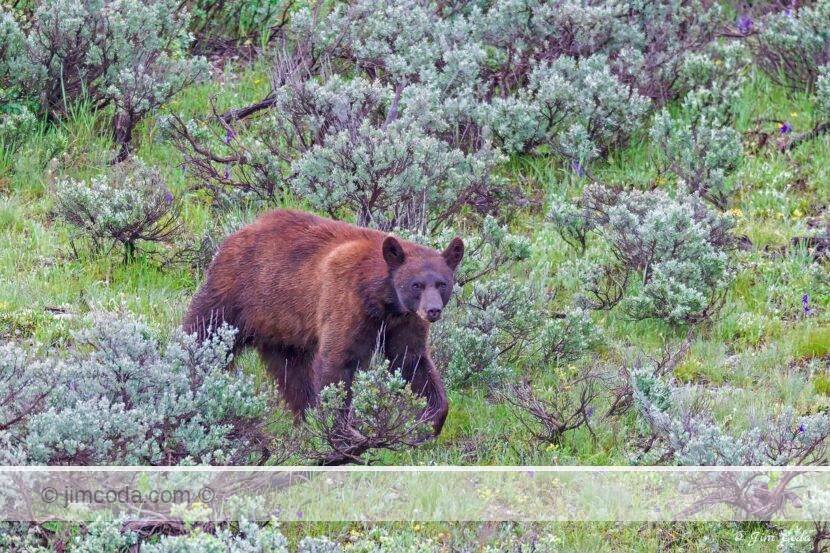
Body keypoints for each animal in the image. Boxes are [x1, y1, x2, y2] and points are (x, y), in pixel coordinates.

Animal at [183, 209, 464, 434]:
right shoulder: (345, 301)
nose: (432, 310)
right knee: (204, 331)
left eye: (442, 283)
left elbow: (410, 361)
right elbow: (338, 361)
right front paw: (341, 432)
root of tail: (239, 232)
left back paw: (305, 419)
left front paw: (429, 420)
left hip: (283, 327)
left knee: (293, 373)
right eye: (416, 284)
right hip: (236, 293)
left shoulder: (404, 321)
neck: (381, 299)